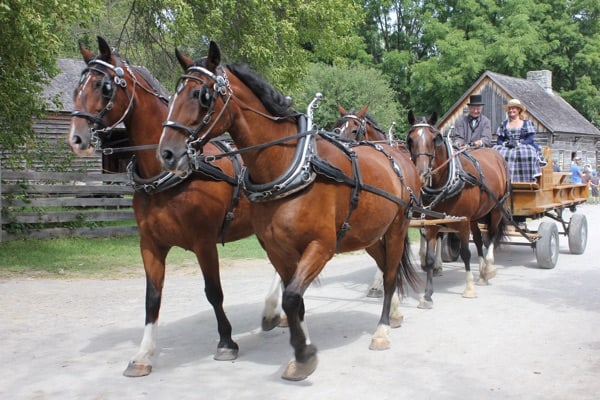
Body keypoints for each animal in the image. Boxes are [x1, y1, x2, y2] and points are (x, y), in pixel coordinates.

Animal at [67, 36, 282, 376]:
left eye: (104, 87)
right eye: (79, 85)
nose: (76, 137)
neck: (164, 177)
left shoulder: (203, 242)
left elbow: (213, 292)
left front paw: (226, 342)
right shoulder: (150, 244)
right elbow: (152, 298)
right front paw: (143, 355)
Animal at [157, 41, 422, 382]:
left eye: (202, 95)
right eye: (175, 93)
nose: (167, 152)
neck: (288, 166)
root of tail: (397, 157)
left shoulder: (321, 246)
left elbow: (293, 296)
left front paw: (304, 354)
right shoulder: (277, 249)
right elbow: (294, 300)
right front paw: (301, 350)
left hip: (398, 228)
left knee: (390, 276)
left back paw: (382, 329)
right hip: (371, 236)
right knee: (386, 265)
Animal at [404, 111, 510, 308]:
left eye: (435, 139)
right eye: (410, 139)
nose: (422, 174)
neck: (448, 180)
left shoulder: (462, 221)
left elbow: (466, 253)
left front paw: (469, 288)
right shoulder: (432, 222)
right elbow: (430, 257)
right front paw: (427, 295)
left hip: (496, 209)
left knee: (491, 236)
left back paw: (488, 268)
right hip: (474, 217)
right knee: (479, 240)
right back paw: (482, 272)